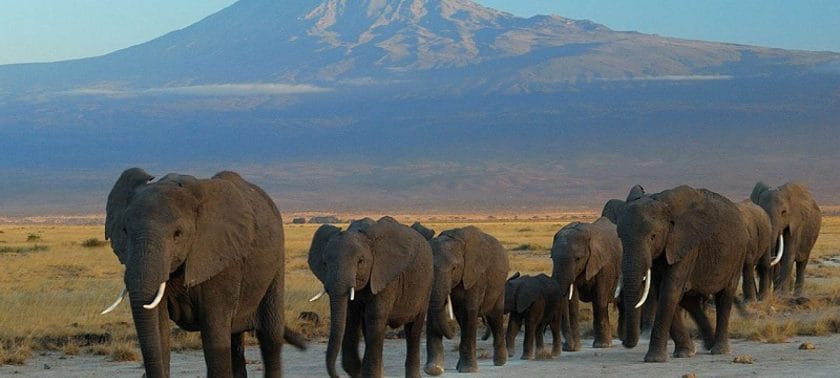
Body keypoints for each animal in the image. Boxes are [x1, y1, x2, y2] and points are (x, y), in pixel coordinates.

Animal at [103, 168, 304, 378]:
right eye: (124, 231)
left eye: (178, 233)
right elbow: (159, 328)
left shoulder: (222, 259)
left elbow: (214, 334)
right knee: (235, 340)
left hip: (276, 263)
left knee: (269, 337)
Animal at [306, 217, 434, 376]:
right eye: (324, 263)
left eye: (360, 261)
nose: (336, 376)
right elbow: (350, 317)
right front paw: (359, 370)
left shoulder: (386, 276)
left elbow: (375, 317)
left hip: (426, 287)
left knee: (413, 331)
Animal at [424, 226, 508, 374]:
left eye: (454, 268)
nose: (452, 333)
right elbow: (432, 312)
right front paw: (433, 370)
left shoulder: (476, 276)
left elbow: (469, 311)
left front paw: (468, 370)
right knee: (462, 319)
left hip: (499, 286)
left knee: (494, 317)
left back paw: (499, 362)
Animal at [552, 217, 624, 350]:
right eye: (552, 258)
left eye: (578, 259)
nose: (566, 346)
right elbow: (572, 303)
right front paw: (574, 349)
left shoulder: (605, 265)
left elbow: (599, 299)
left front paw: (602, 345)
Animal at [616, 185, 748, 362]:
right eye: (620, 237)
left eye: (653, 236)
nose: (624, 342)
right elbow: (663, 292)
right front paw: (684, 353)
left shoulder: (685, 245)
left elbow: (669, 291)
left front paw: (654, 359)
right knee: (689, 301)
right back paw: (706, 345)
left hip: (738, 254)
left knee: (725, 295)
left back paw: (719, 350)